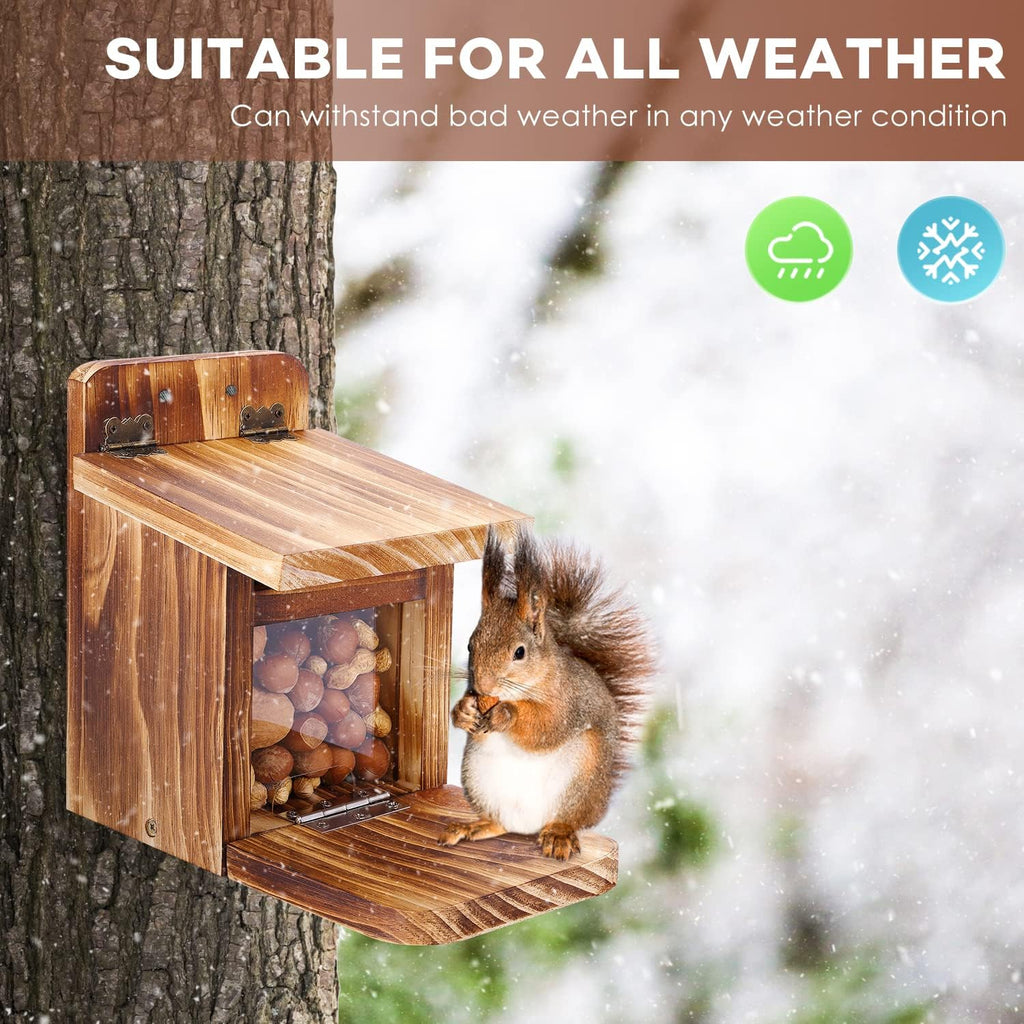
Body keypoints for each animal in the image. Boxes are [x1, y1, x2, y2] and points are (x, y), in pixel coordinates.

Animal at [440, 524, 655, 861]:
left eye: (520, 652)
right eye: (470, 645)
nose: (484, 687)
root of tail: (528, 826)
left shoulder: (569, 701)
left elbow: (547, 726)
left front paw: (506, 714)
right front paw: (464, 711)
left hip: (582, 778)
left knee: (569, 819)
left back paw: (559, 834)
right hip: (478, 777)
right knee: (499, 822)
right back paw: (473, 827)